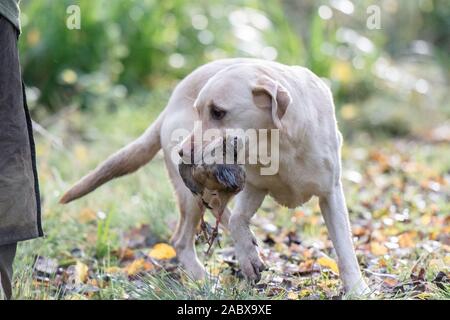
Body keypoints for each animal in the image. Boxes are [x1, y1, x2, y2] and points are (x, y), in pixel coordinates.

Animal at [60, 58, 370, 296]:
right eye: (199, 112)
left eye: (218, 113)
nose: (182, 152)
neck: (280, 143)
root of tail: (169, 106)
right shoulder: (253, 185)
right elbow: (237, 222)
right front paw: (248, 259)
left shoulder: (330, 193)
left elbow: (345, 248)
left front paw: (357, 289)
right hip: (192, 198)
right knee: (182, 240)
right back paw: (206, 280)